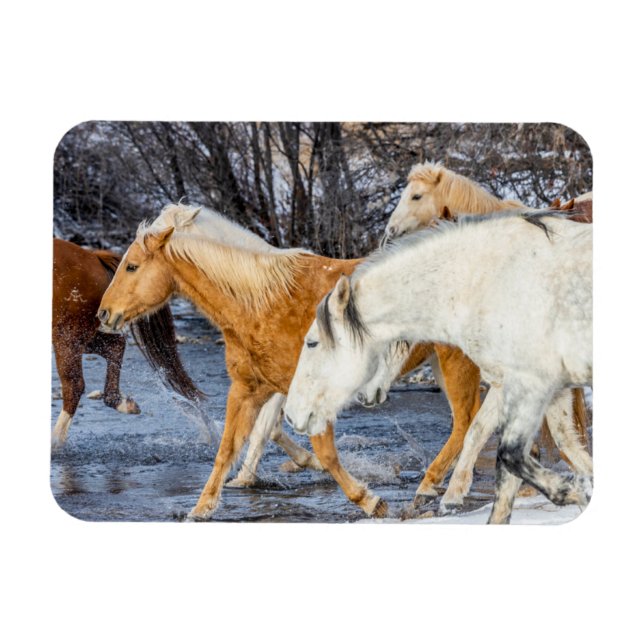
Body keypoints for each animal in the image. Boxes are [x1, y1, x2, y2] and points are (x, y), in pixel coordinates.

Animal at [52, 238, 202, 447]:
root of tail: (93, 257)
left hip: (67, 338)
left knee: (74, 385)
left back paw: (54, 442)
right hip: (78, 338)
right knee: (115, 346)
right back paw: (122, 403)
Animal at [97, 204, 489, 520]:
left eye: (132, 266)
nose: (104, 313)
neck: (262, 301)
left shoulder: (307, 393)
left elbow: (323, 452)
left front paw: (370, 501)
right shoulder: (249, 389)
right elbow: (229, 448)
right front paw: (202, 508)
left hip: (457, 360)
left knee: (467, 420)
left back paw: (434, 487)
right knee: (470, 419)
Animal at [284, 211, 592, 524]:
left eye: (312, 343)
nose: (291, 414)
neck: (484, 281)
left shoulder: (529, 385)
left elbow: (510, 454)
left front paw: (576, 491)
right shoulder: (534, 387)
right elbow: (543, 449)